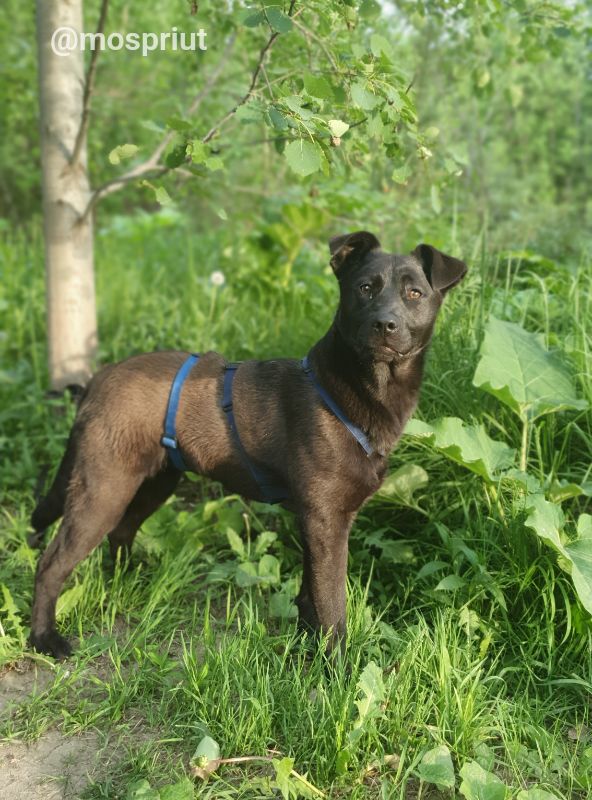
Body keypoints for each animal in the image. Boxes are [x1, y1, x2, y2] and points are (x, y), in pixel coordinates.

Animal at [28, 231, 468, 656]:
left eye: (415, 293)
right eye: (364, 288)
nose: (384, 324)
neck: (350, 391)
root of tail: (97, 380)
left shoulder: (315, 522)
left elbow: (310, 596)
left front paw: (305, 648)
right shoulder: (326, 521)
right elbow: (332, 608)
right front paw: (337, 669)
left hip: (153, 482)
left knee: (120, 535)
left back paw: (129, 586)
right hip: (103, 489)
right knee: (51, 564)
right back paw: (44, 638)